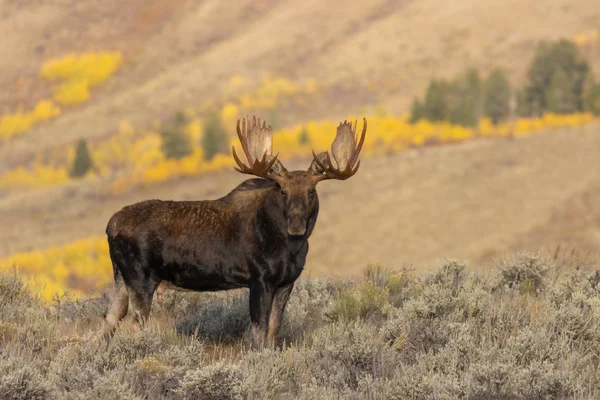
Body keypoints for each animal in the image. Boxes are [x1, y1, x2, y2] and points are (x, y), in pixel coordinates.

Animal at [103, 115, 366, 344]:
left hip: (121, 278)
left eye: (311, 192)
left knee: (110, 319)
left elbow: (274, 329)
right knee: (132, 324)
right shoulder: (259, 279)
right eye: (283, 191)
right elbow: (259, 331)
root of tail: (110, 226)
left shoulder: (287, 281)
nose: (296, 225)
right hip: (141, 278)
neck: (291, 248)